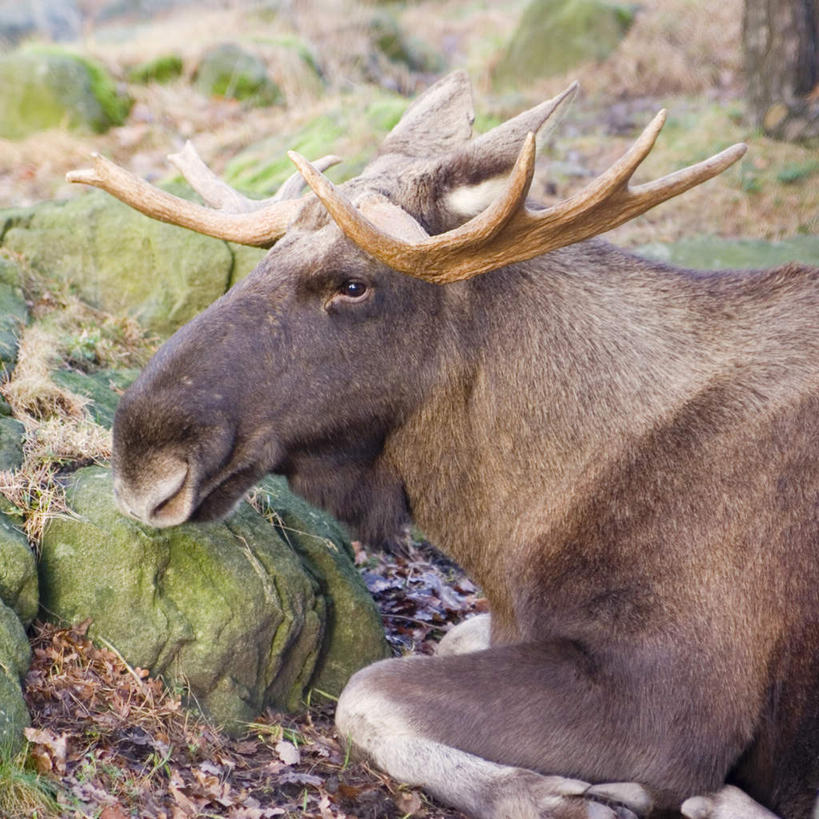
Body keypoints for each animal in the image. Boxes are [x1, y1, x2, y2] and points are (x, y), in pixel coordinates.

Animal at [70, 72, 819, 819]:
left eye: (353, 283)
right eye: (269, 258)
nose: (142, 459)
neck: (516, 523)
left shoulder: (672, 697)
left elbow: (365, 692)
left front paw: (558, 796)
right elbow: (441, 642)